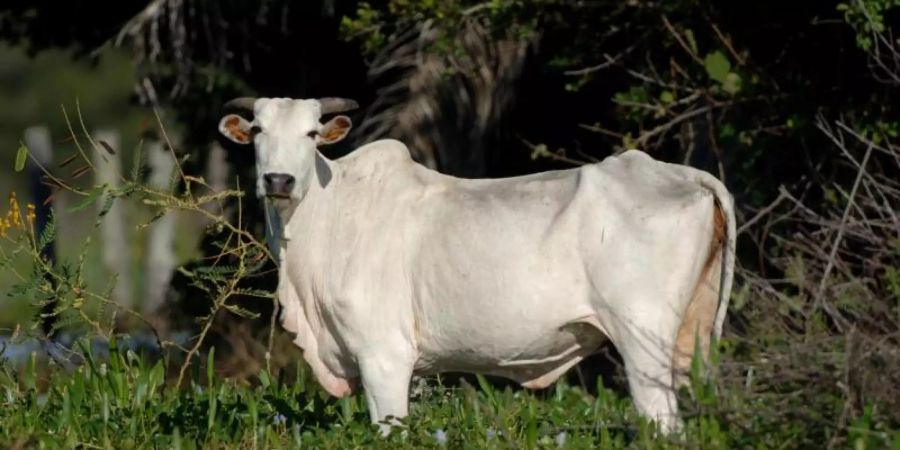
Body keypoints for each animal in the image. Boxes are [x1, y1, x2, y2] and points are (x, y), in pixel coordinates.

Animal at [220, 96, 740, 434]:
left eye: (311, 133)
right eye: (258, 130)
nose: (279, 180)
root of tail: (674, 172)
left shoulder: (384, 356)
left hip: (642, 339)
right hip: (690, 339)